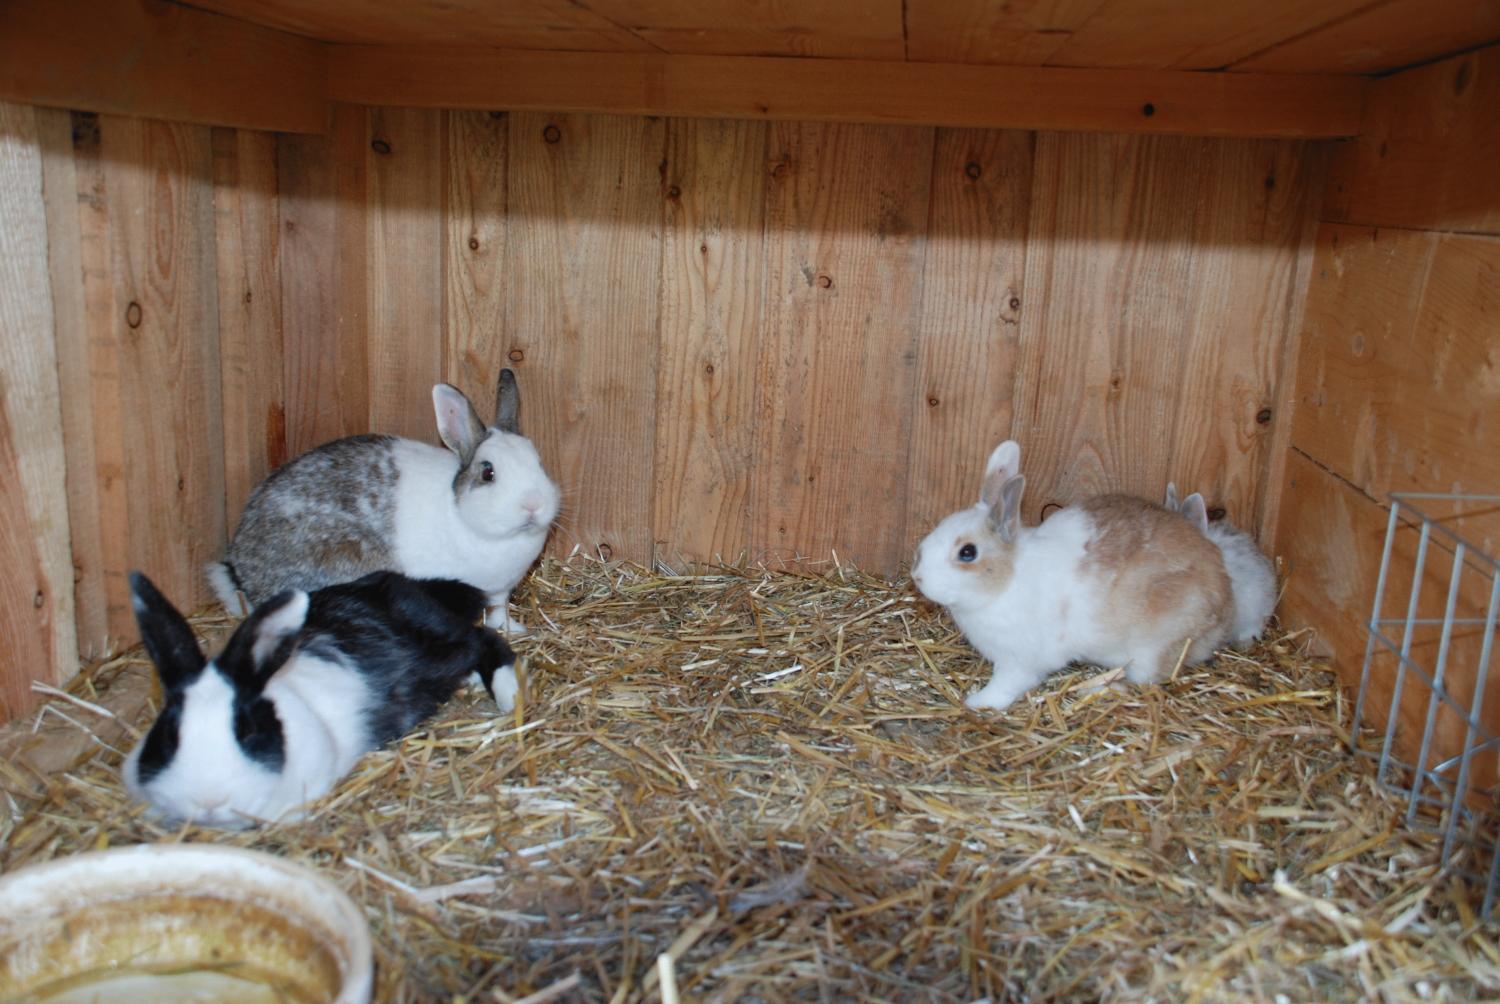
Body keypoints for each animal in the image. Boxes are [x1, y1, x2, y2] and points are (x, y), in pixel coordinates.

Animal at [120, 567, 516, 828]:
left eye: (247, 730)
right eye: (167, 735)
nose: (208, 801)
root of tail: (405, 584)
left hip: (442, 652)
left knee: (484, 641)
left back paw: (509, 695)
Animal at [208, 367, 561, 633]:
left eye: (539, 463)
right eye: (488, 473)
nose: (533, 505)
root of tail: (243, 571)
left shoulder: (499, 591)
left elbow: (499, 612)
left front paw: (515, 630)